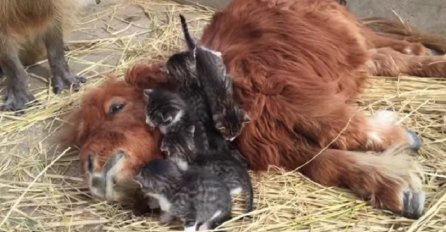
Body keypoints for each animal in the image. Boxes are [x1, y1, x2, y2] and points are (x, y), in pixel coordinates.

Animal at [61, 0, 446, 219]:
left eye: (116, 107)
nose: (90, 168)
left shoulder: (285, 91)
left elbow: (335, 123)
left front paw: (399, 138)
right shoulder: (273, 141)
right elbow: (324, 162)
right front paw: (393, 186)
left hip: (351, 34)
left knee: (388, 50)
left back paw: (433, 60)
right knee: (387, 57)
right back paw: (420, 54)